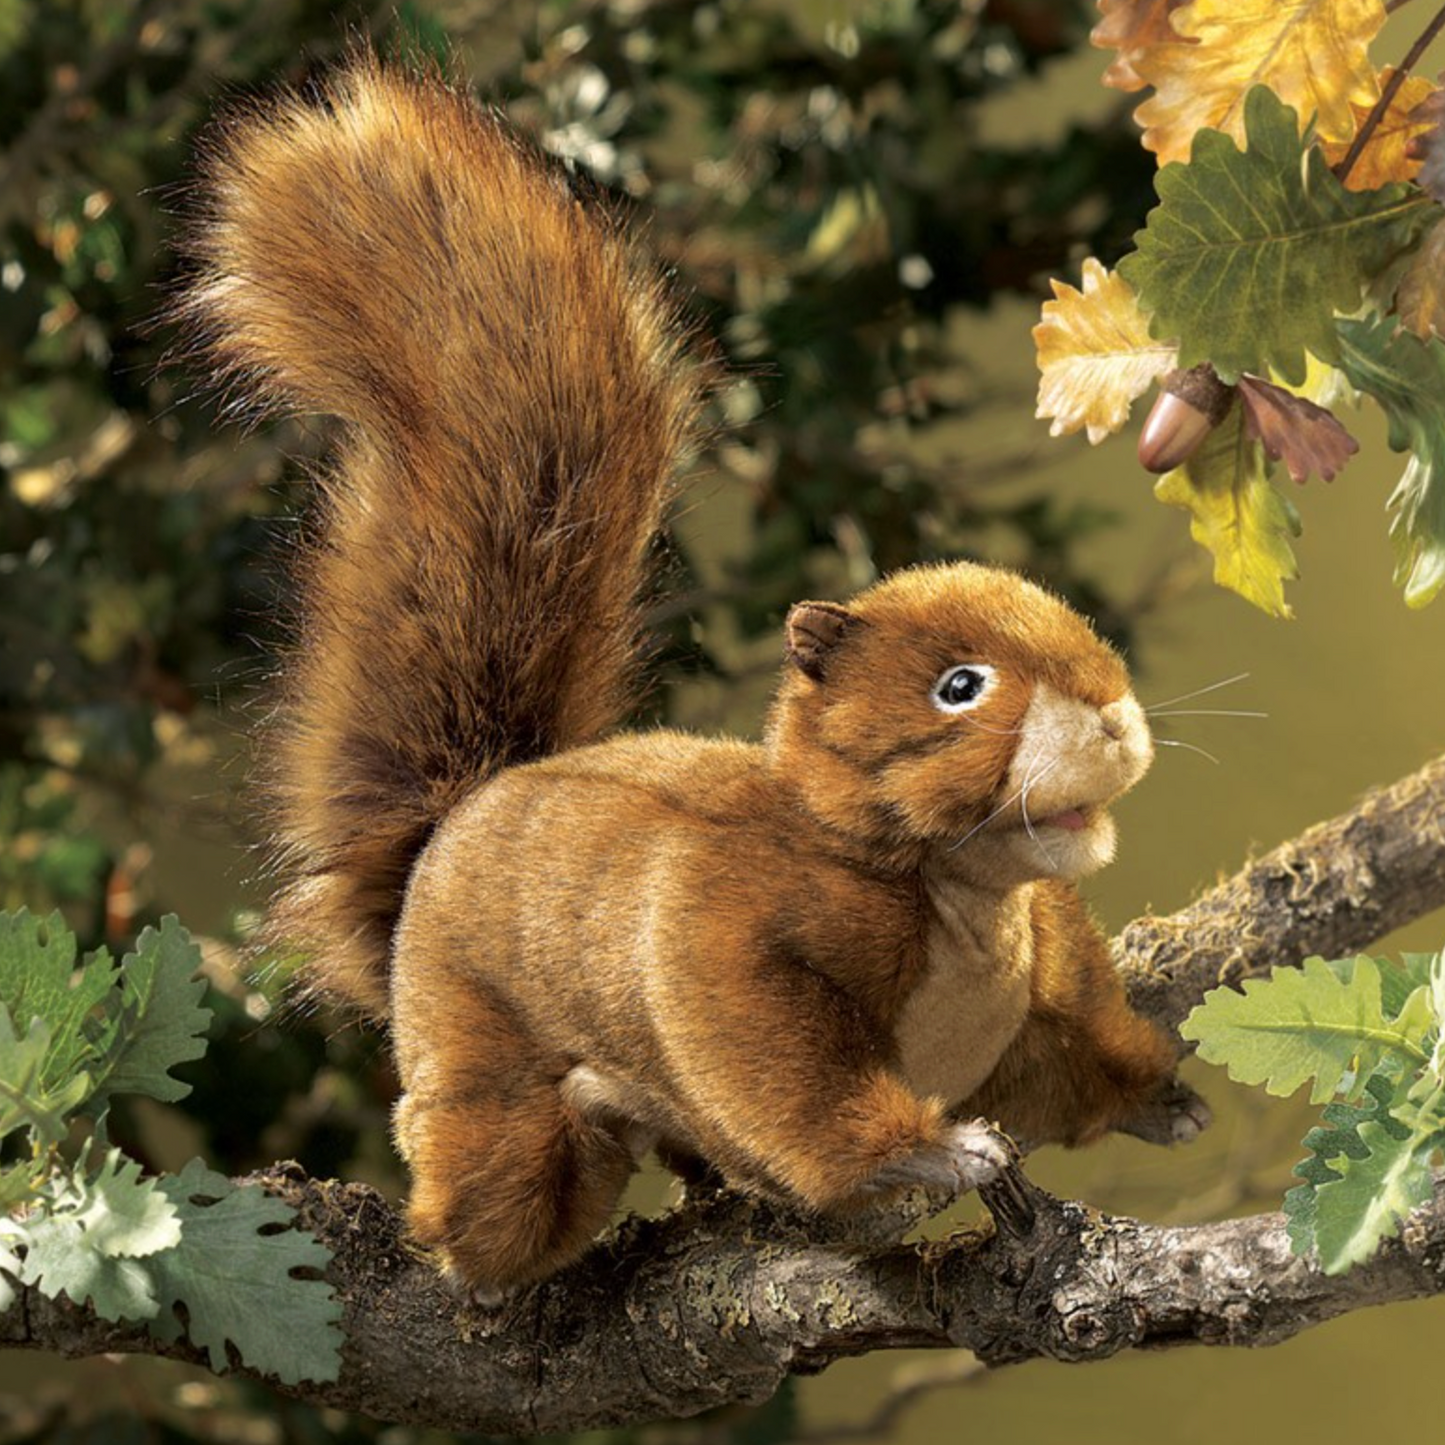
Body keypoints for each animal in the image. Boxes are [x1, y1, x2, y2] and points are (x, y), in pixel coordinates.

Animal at [180, 55, 1209, 1298]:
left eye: (1075, 620)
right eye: (957, 685)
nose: (1109, 714)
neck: (964, 899)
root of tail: (446, 826)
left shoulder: (1046, 982)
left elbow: (1072, 1063)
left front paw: (1163, 1096)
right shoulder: (736, 927)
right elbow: (774, 1063)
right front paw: (924, 1153)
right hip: (473, 1054)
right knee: (485, 1196)